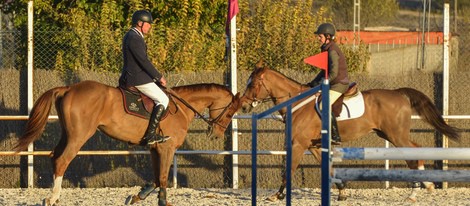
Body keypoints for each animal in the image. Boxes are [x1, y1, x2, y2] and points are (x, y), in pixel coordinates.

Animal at [13, 81, 242, 206]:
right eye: (230, 111)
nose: (216, 133)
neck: (181, 107)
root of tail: (68, 88)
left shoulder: (155, 148)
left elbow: (157, 178)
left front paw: (136, 197)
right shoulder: (166, 148)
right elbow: (163, 178)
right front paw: (162, 201)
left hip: (68, 134)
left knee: (54, 157)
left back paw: (55, 196)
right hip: (78, 136)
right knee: (62, 160)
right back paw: (52, 199)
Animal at [241, 62, 460, 202]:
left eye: (253, 84)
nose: (243, 106)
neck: (297, 103)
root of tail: (399, 93)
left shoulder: (298, 144)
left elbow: (289, 169)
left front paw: (277, 195)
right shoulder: (312, 145)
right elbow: (327, 167)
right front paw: (342, 193)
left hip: (396, 135)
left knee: (413, 153)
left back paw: (417, 192)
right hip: (389, 134)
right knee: (414, 151)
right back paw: (424, 187)